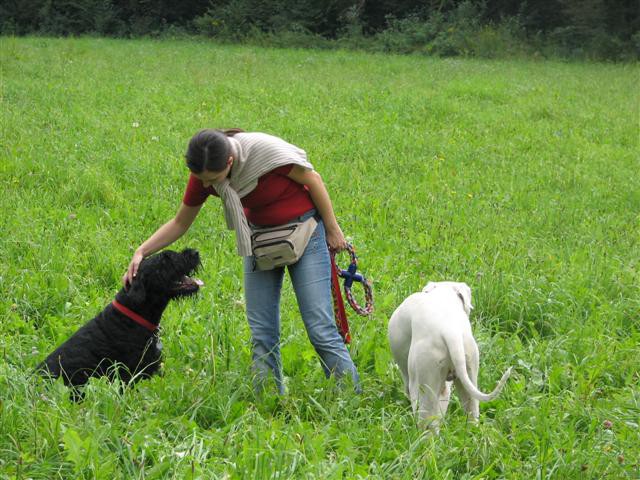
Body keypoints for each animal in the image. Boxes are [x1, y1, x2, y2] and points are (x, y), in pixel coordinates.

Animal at [388, 280, 512, 430]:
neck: (443, 297)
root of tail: (450, 331)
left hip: (424, 381)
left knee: (426, 420)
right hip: (469, 371)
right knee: (471, 410)